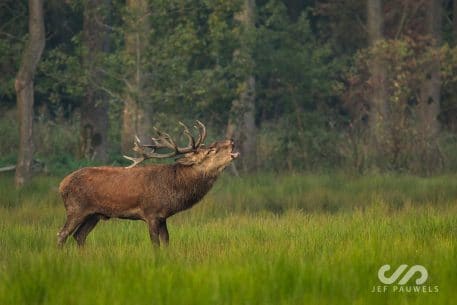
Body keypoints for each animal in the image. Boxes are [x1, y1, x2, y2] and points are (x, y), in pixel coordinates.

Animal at [57, 120, 239, 246]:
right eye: (211, 150)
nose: (231, 141)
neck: (174, 187)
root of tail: (62, 184)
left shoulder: (163, 216)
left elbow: (166, 242)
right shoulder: (150, 213)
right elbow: (155, 243)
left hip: (94, 214)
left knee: (79, 236)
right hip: (76, 208)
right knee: (62, 234)